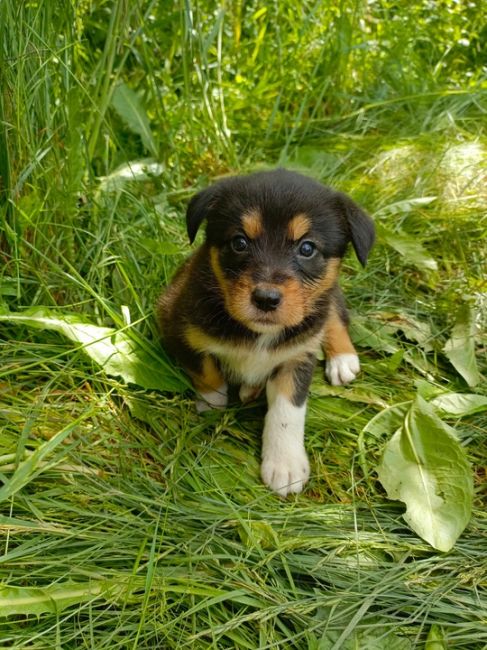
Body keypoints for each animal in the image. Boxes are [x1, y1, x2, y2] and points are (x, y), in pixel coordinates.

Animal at [156, 168, 374, 496]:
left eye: (307, 248)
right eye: (239, 242)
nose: (266, 299)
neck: (258, 334)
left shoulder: (298, 356)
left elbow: (288, 411)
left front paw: (285, 466)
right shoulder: (177, 325)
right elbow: (208, 373)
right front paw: (213, 406)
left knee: (334, 309)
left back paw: (342, 359)